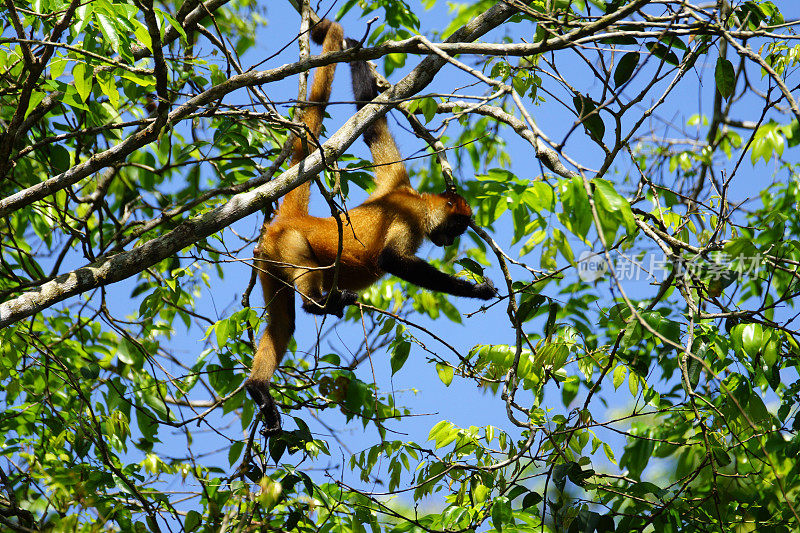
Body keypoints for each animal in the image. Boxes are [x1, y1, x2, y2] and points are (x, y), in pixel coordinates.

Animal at [245, 19, 494, 432]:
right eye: (456, 230)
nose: (447, 243)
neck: (414, 199)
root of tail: (293, 219)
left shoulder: (395, 179)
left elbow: (370, 119)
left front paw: (354, 46)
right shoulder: (409, 218)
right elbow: (391, 260)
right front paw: (475, 290)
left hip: (268, 261)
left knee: (283, 323)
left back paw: (258, 389)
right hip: (291, 244)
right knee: (307, 288)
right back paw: (321, 304)